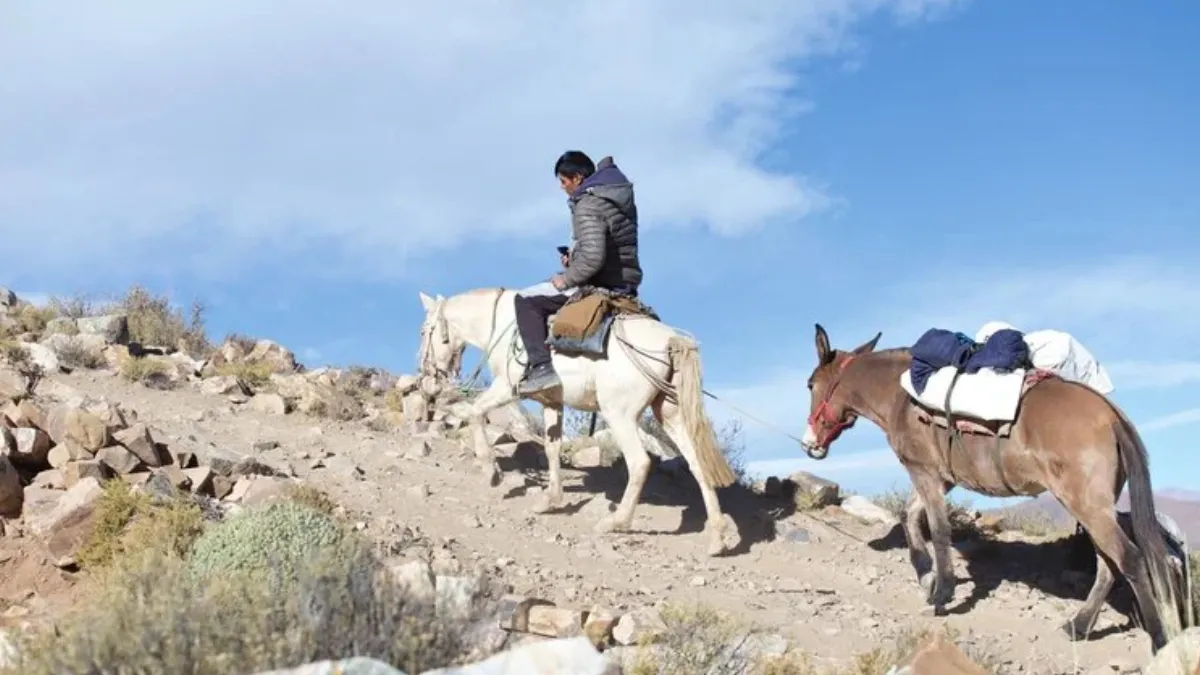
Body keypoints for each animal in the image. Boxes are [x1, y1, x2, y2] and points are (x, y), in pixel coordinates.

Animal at [420, 285, 739, 554]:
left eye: (424, 331)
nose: (428, 378)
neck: (499, 323)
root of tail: (671, 339)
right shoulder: (551, 401)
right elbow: (552, 449)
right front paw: (550, 500)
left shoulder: (507, 387)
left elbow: (476, 411)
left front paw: (492, 472)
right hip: (669, 413)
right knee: (697, 464)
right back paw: (717, 538)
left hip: (619, 414)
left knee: (640, 463)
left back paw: (616, 522)